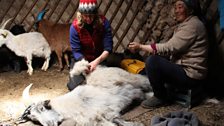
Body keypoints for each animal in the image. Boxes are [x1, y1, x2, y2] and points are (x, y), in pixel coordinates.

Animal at [19, 59, 152, 126]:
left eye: (42, 108)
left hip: (135, 80)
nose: (50, 125)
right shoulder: (100, 118)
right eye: (34, 119)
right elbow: (116, 121)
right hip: (135, 91)